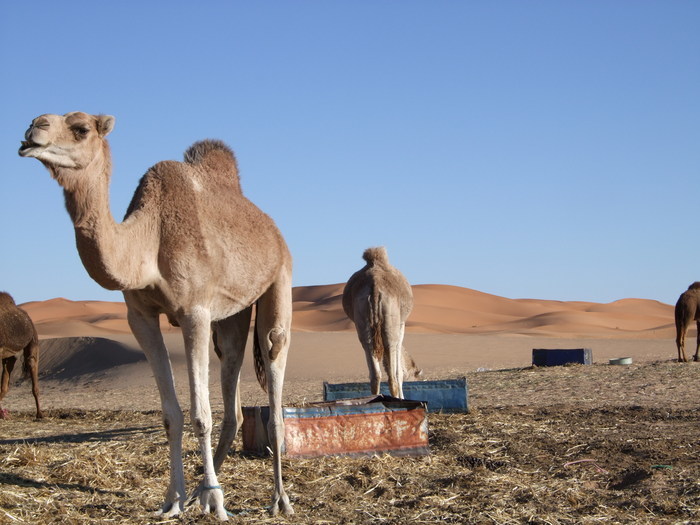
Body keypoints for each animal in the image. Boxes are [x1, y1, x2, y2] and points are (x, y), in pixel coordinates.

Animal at [17, 111, 292, 520]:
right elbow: (171, 415)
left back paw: (277, 500)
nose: (33, 128)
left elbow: (200, 415)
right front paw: (174, 500)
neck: (148, 241)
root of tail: (273, 231)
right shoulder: (140, 316)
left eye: (81, 128)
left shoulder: (194, 312)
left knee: (274, 368)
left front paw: (215, 502)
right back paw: (199, 493)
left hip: (279, 281)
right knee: (234, 398)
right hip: (232, 315)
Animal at [340, 246, 418, 398]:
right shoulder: (401, 326)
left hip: (363, 321)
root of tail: (375, 284)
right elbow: (399, 372)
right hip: (390, 321)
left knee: (374, 373)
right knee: (392, 376)